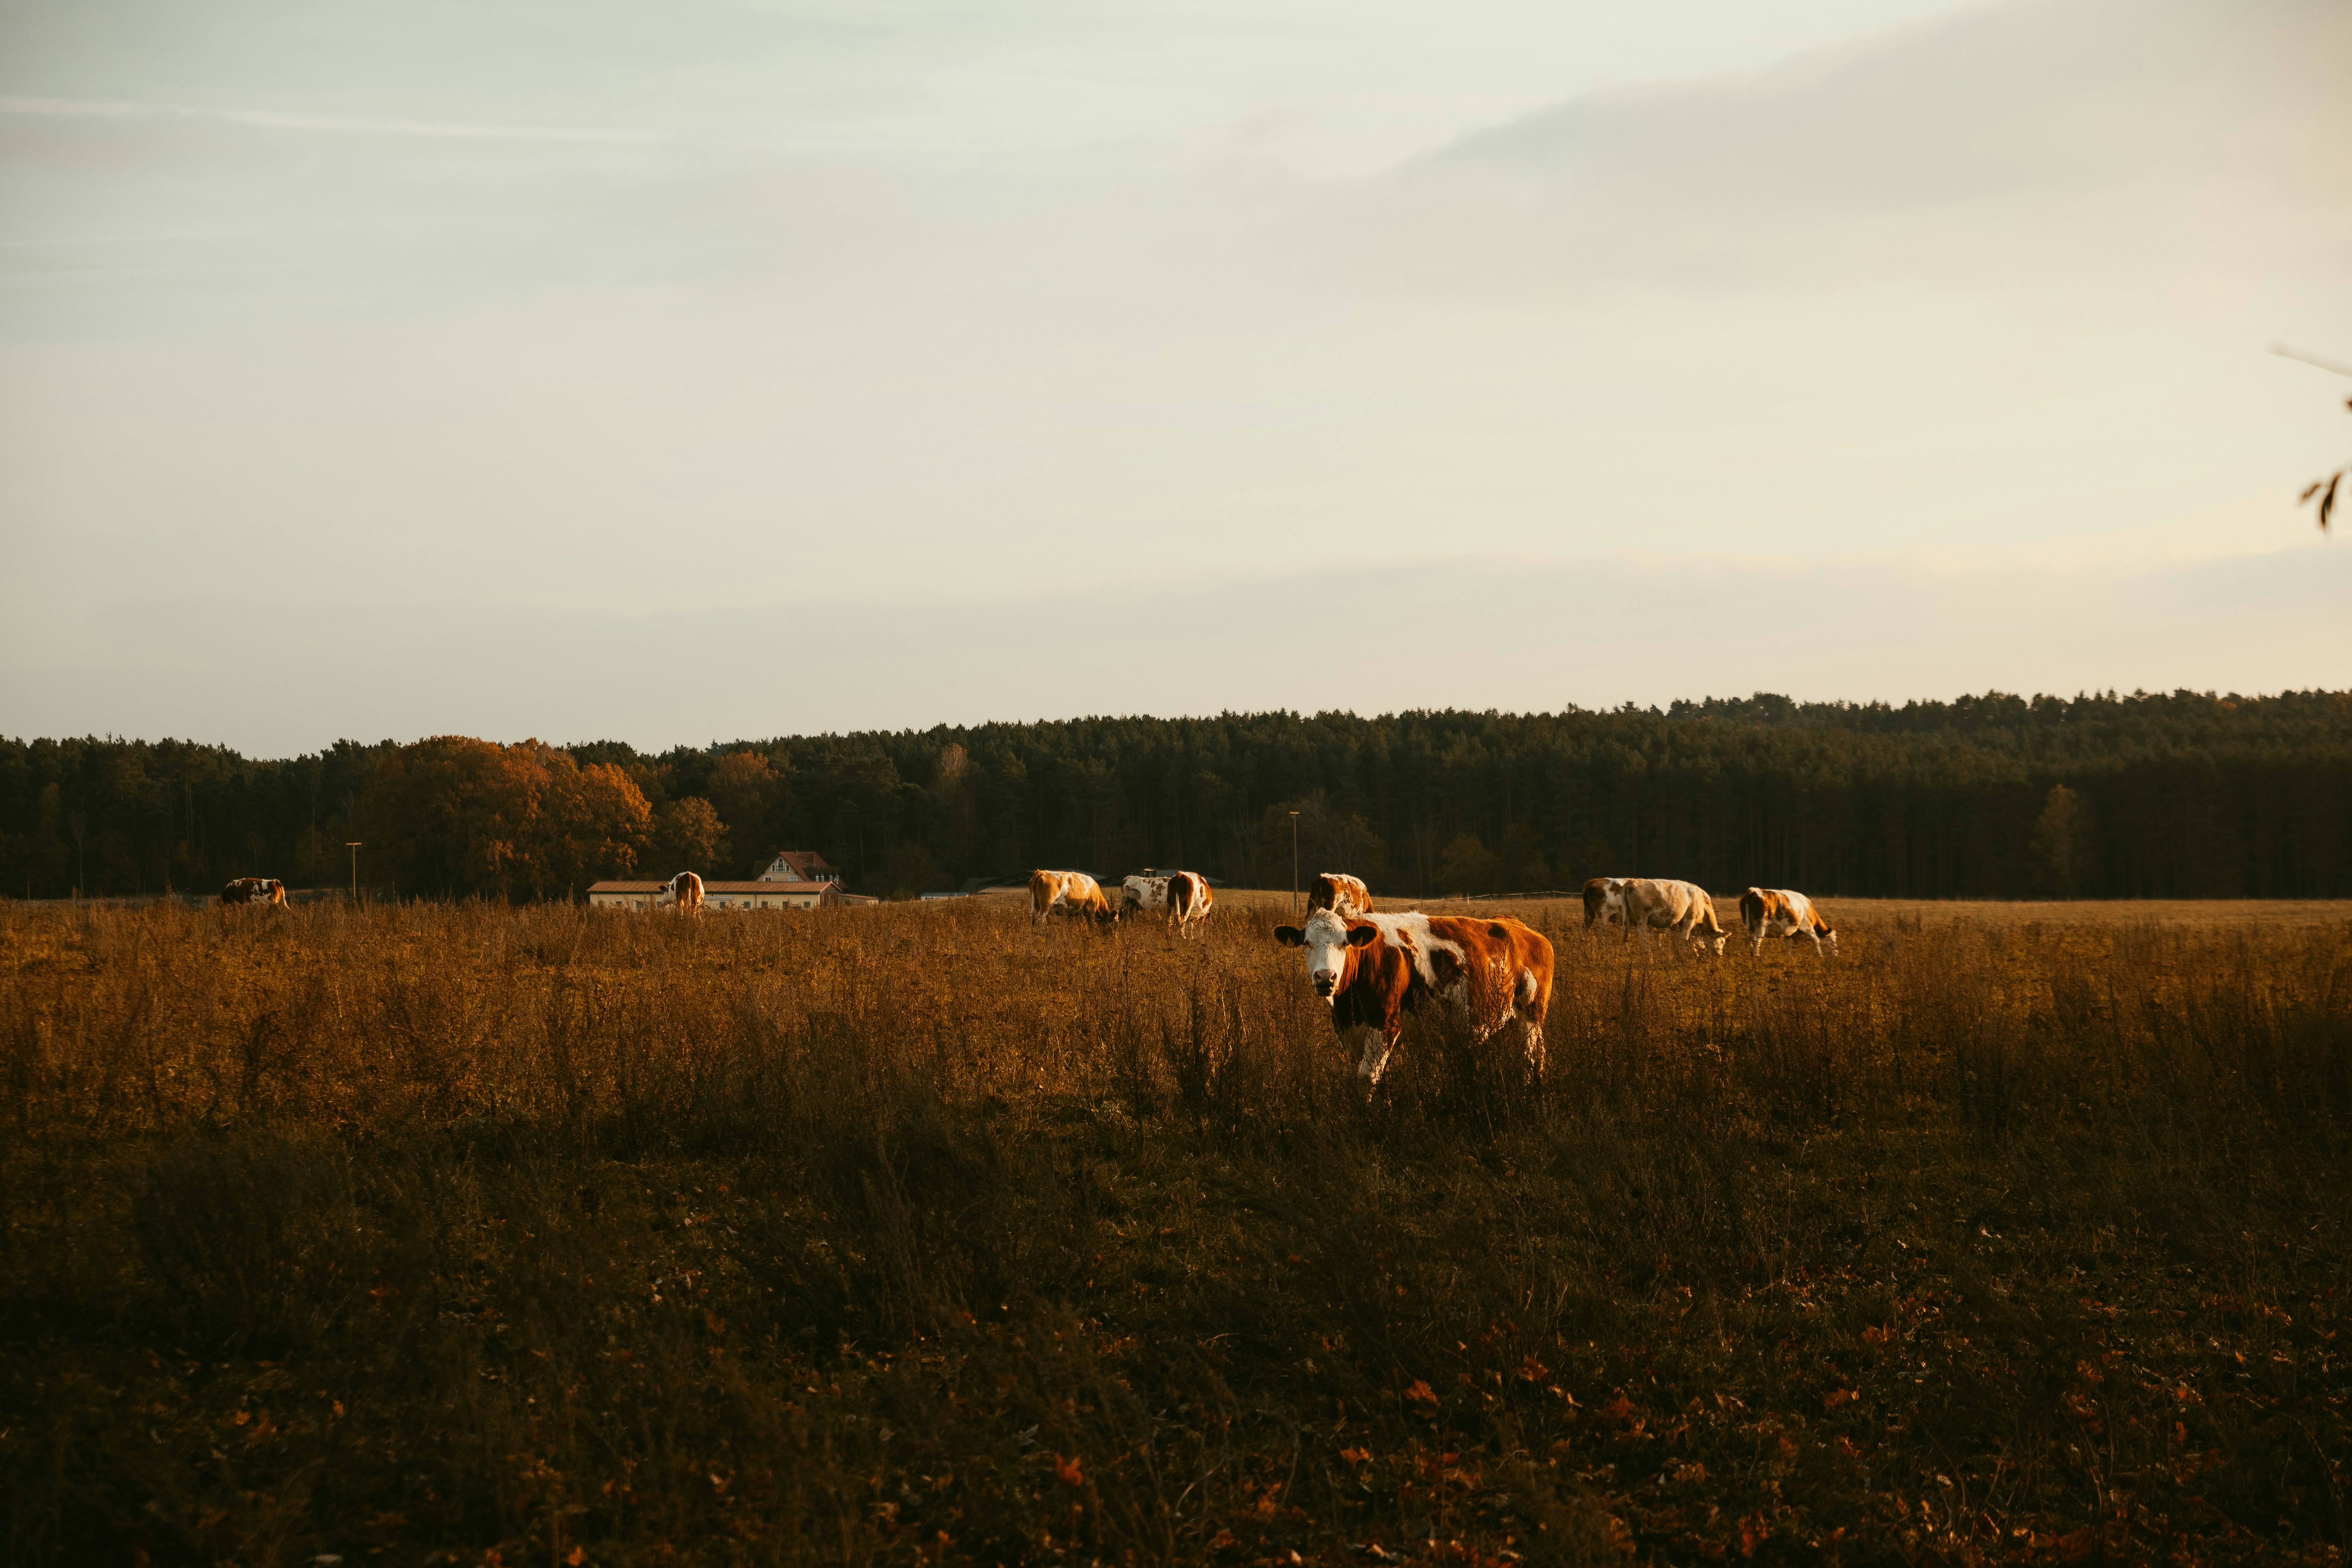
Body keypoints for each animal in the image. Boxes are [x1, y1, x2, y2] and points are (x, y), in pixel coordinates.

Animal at [656, 871, 705, 912]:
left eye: (664, 893)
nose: (662, 902)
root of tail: (688, 874)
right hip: (694, 899)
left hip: (680, 899)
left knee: (681, 911)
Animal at [1029, 869, 1113, 925]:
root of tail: (1041, 872)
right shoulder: (1092, 909)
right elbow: (1091, 924)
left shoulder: (1072, 913)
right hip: (1045, 907)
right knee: (1040, 921)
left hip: (1038, 906)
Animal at [1274, 908, 1553, 1089]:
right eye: (1306, 943)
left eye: (1345, 943)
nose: (1326, 977)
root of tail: (1517, 925)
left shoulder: (1386, 1025)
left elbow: (1366, 1078)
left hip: (1531, 1016)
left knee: (1530, 1059)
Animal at [1618, 878, 1727, 957]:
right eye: (1722, 942)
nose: (1719, 956)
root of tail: (1632, 881)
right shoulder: (1689, 920)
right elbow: (1685, 939)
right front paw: (1685, 955)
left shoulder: (1680, 925)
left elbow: (1685, 942)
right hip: (1642, 919)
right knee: (1642, 936)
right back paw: (1648, 954)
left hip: (1629, 918)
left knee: (1627, 934)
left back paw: (1627, 953)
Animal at [1739, 887, 1838, 959]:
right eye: (1832, 941)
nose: (1836, 955)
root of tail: (1754, 890)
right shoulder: (1807, 927)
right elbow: (1816, 940)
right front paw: (1820, 956)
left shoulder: (1788, 934)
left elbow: (1789, 946)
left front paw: (1789, 959)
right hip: (1761, 926)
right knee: (1756, 940)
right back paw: (1757, 956)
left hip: (1748, 925)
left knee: (1748, 940)